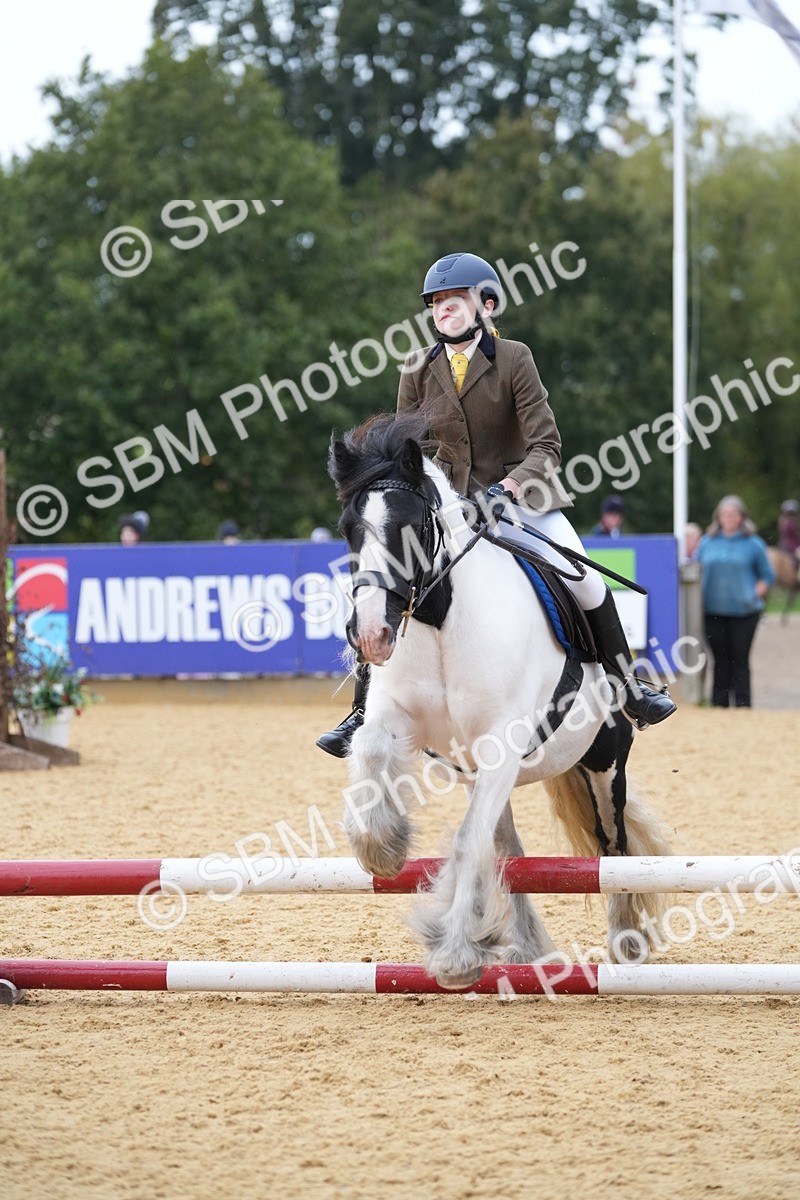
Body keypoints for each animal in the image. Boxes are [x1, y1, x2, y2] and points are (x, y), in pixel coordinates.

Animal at [330, 413, 672, 989]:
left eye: (411, 527)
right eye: (348, 530)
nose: (372, 635)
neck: (440, 620)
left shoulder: (501, 744)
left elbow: (469, 841)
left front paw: (453, 954)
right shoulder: (399, 720)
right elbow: (372, 749)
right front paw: (381, 848)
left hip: (603, 761)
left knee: (612, 843)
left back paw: (625, 939)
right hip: (485, 775)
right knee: (510, 850)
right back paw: (527, 944)